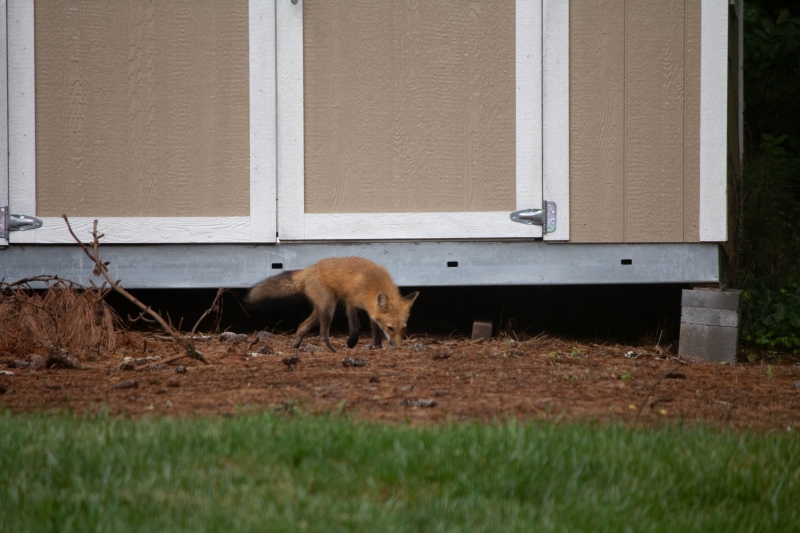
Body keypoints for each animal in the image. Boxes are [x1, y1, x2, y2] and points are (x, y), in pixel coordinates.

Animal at [246, 257, 419, 352]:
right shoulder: (350, 302)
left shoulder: (372, 311)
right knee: (322, 336)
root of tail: (308, 269)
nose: (398, 348)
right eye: (390, 328)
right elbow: (355, 328)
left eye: (403, 328)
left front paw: (377, 347)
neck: (372, 283)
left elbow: (376, 332)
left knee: (302, 326)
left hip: (320, 310)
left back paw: (295, 347)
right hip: (329, 307)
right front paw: (351, 343)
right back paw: (331, 351)